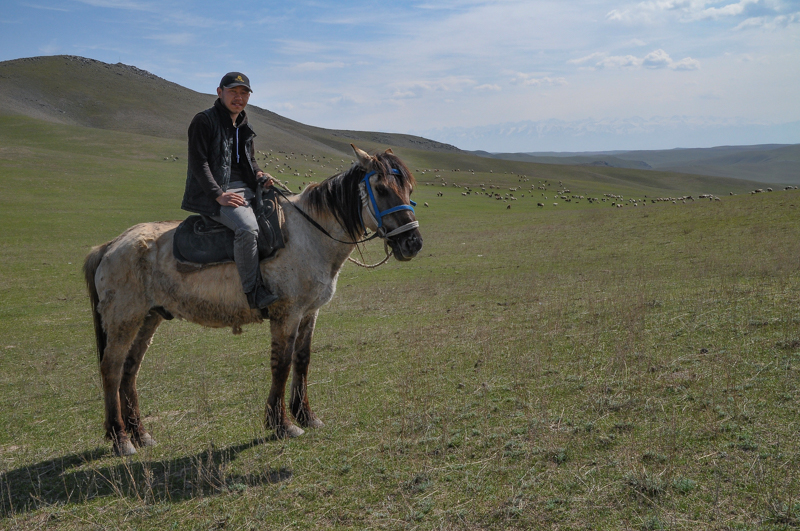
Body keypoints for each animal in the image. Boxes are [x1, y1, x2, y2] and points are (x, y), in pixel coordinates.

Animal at [83, 145, 422, 458]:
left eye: (409, 189)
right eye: (381, 189)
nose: (413, 243)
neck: (309, 236)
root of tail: (110, 246)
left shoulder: (309, 313)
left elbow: (302, 361)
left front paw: (307, 416)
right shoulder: (286, 314)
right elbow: (281, 365)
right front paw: (282, 424)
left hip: (148, 318)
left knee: (130, 370)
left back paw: (141, 434)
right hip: (124, 319)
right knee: (111, 369)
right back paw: (121, 439)